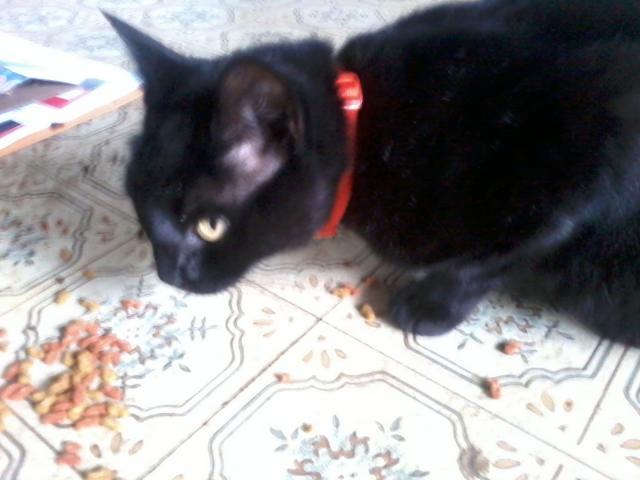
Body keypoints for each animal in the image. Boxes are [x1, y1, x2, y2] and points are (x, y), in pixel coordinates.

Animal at [105, 0, 640, 346]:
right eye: (139, 208)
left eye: (210, 226)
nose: (168, 273)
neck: (369, 133)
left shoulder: (597, 151)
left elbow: (494, 257)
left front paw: (428, 306)